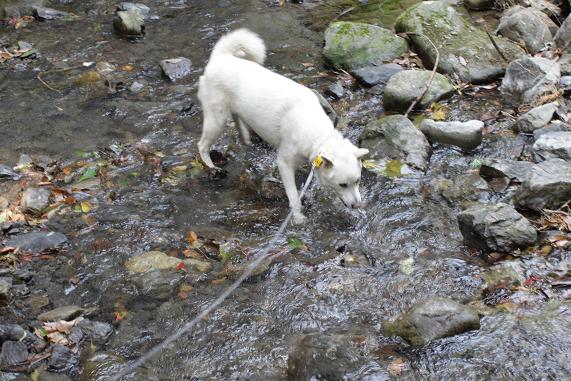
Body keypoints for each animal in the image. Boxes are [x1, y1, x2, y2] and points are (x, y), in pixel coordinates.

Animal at [199, 29, 368, 223]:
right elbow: (294, 196)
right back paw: (212, 168)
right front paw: (299, 218)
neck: (317, 134)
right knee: (202, 145)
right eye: (343, 184)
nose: (357, 206)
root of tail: (220, 56)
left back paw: (245, 139)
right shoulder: (284, 163)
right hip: (216, 120)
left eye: (358, 181)